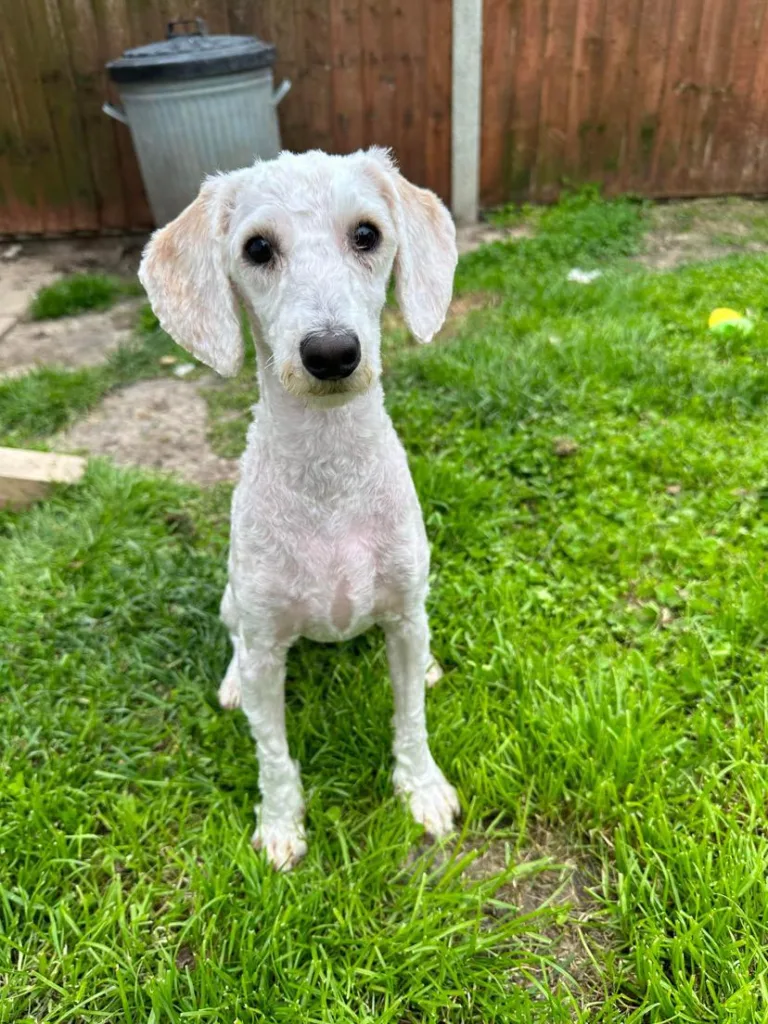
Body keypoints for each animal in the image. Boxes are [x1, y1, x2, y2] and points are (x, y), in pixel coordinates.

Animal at [140, 148, 456, 868]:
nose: (332, 352)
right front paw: (281, 825)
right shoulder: (264, 644)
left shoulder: (404, 614)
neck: (328, 474)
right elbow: (273, 754)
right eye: (257, 248)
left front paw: (422, 789)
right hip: (234, 602)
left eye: (367, 234)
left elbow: (411, 721)